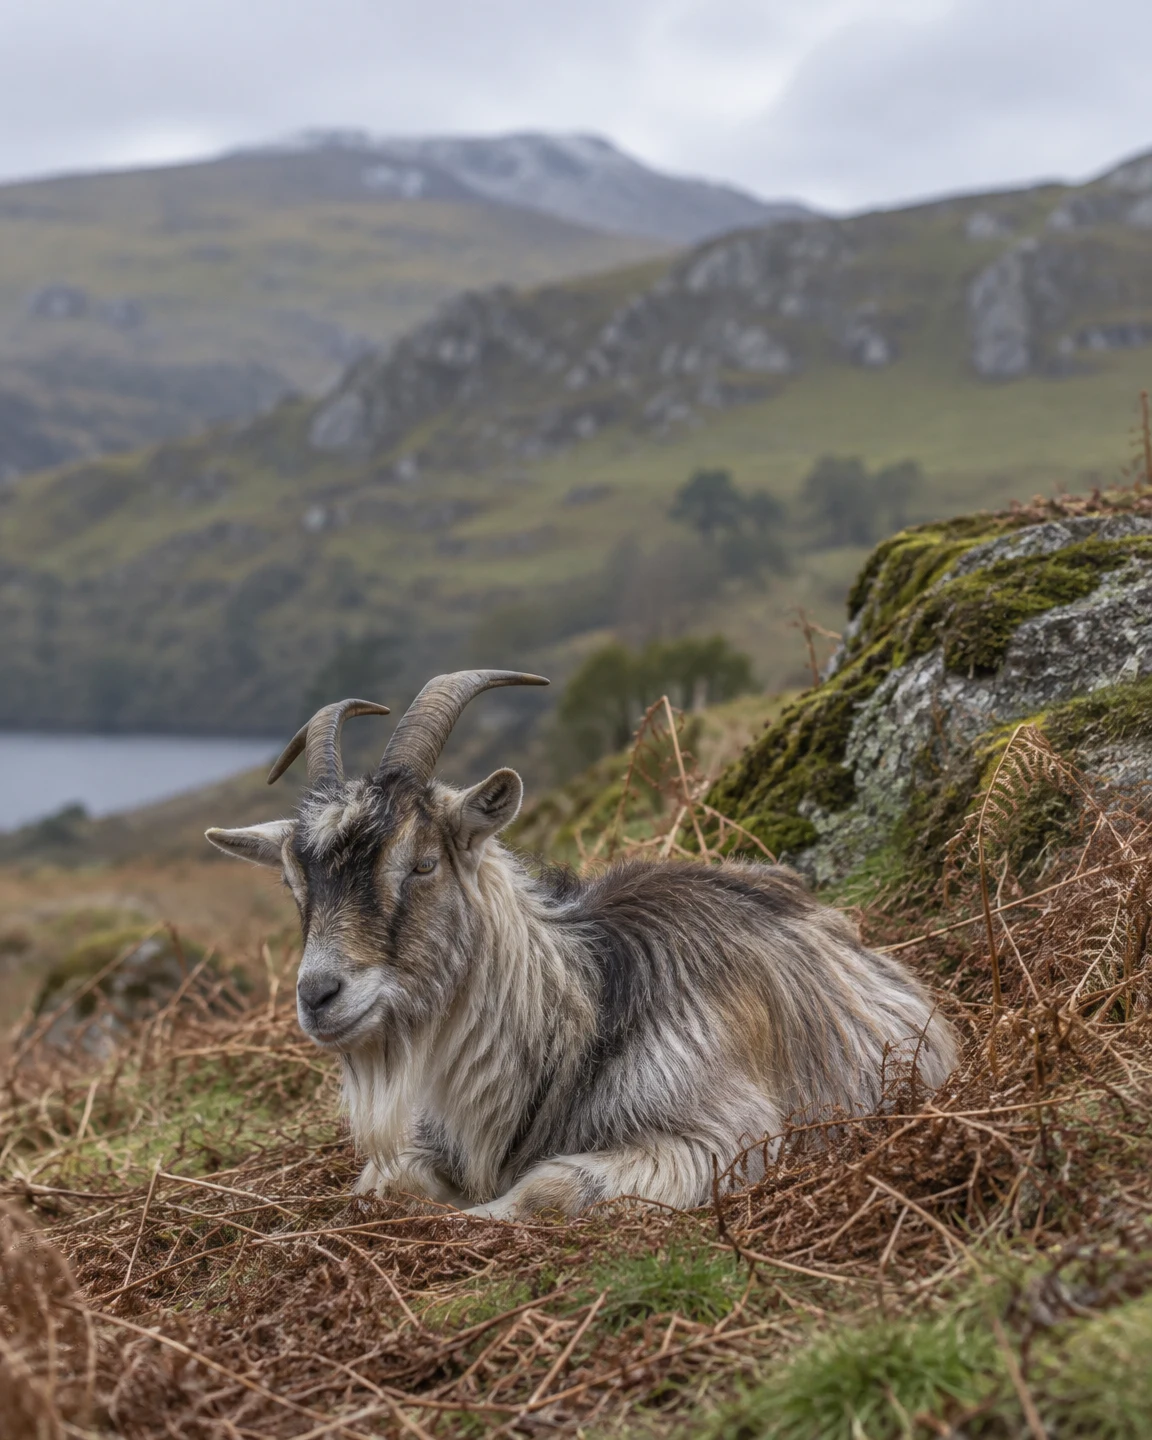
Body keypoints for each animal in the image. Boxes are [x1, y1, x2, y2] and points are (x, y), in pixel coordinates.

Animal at [207, 671, 955, 1219]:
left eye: (421, 864)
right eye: (294, 882)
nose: (318, 995)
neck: (579, 1016)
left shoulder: (723, 1138)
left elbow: (544, 1188)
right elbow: (387, 1176)